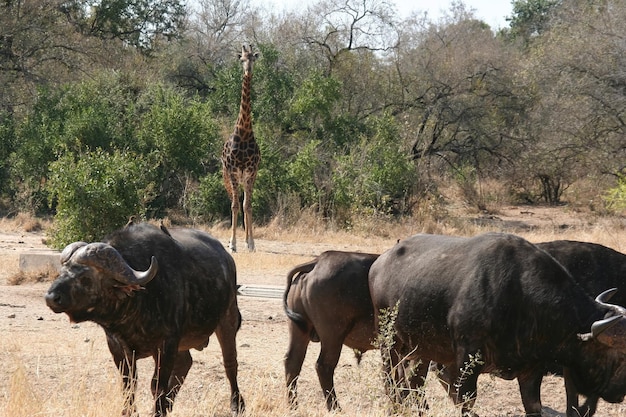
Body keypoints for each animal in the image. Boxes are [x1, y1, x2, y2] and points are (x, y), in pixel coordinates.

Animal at [44, 223, 243, 416]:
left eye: (85, 277)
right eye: (62, 271)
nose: (51, 297)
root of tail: (227, 259)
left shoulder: (166, 345)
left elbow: (157, 385)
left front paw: (158, 411)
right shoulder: (117, 347)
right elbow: (129, 384)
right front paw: (130, 411)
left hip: (228, 319)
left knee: (230, 363)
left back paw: (236, 404)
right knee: (185, 362)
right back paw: (169, 404)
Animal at [284, 250, 380, 410]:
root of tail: (318, 261)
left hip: (299, 330)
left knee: (292, 363)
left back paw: (293, 406)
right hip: (333, 336)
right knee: (324, 366)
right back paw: (335, 407)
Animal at [368, 232, 624, 414]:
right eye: (620, 357)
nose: (620, 393)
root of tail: (379, 262)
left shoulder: (531, 370)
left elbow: (533, 406)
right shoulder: (466, 364)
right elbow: (465, 403)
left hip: (422, 349)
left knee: (414, 382)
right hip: (389, 341)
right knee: (391, 381)